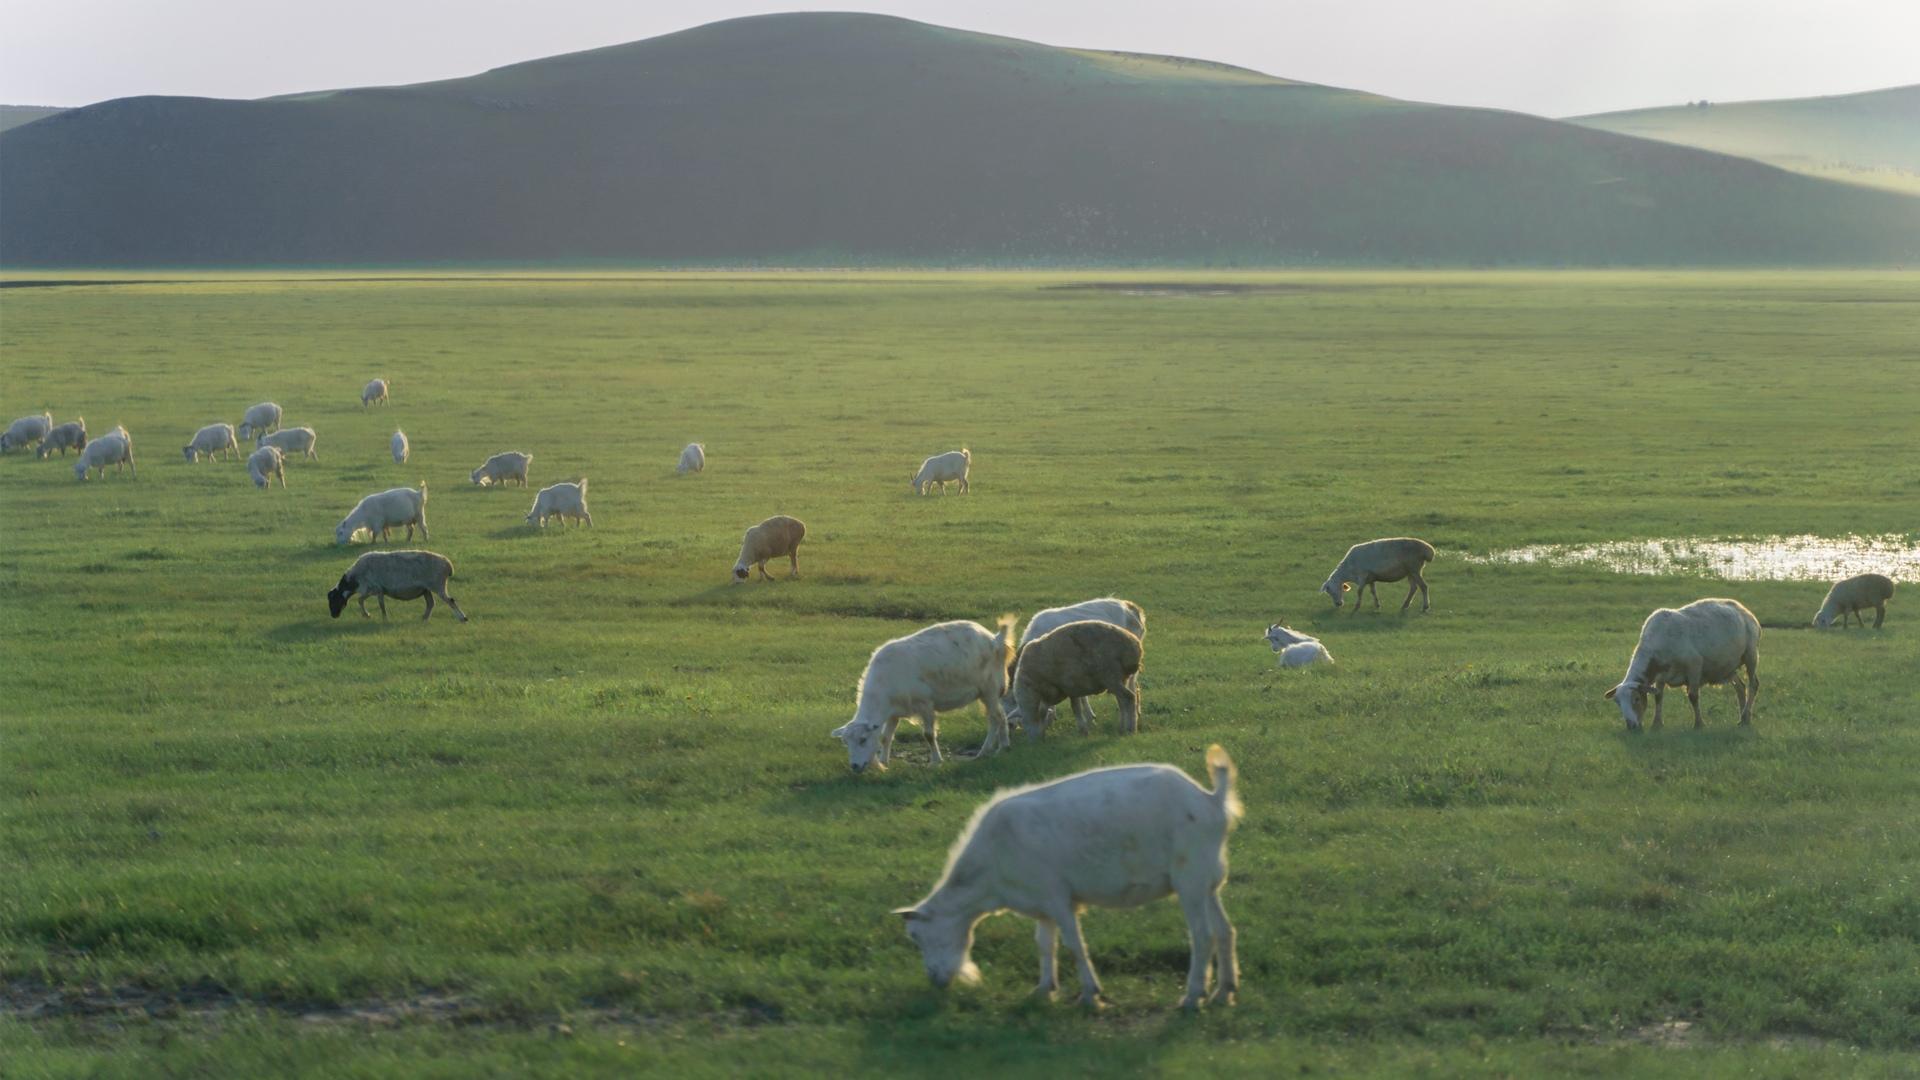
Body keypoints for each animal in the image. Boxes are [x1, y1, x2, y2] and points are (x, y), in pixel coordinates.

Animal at [328, 545, 466, 622]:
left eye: (334, 600)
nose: (333, 615)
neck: (354, 579)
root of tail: (448, 565)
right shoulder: (376, 590)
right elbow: (365, 601)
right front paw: (374, 616)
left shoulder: (374, 588)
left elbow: (368, 602)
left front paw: (375, 617)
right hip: (426, 589)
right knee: (431, 604)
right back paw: (424, 619)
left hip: (438, 585)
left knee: (450, 601)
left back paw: (463, 618)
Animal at [833, 614, 1029, 764]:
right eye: (846, 743)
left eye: (863, 740)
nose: (855, 767)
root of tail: (996, 639)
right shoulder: (894, 712)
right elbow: (885, 737)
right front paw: (884, 762)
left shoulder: (925, 704)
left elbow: (928, 735)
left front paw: (936, 761)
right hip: (985, 693)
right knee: (995, 718)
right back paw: (988, 750)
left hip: (990, 688)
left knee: (998, 717)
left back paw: (1000, 748)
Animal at [898, 737, 1244, 1006]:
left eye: (917, 936)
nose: (936, 981)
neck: (990, 876)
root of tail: (1212, 801)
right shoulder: (1041, 903)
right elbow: (1044, 944)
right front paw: (1043, 989)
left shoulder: (1057, 897)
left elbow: (1074, 945)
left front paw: (1091, 994)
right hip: (1207, 879)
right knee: (1225, 931)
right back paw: (1224, 991)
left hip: (1190, 878)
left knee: (1203, 935)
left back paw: (1193, 996)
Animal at [1605, 595, 1758, 730]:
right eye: (1617, 703)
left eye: (1636, 699)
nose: (1631, 727)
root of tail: (1743, 609)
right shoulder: (1660, 676)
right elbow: (1658, 697)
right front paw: (1656, 724)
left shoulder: (1694, 665)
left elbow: (1693, 696)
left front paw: (1699, 724)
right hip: (1727, 666)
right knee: (1740, 687)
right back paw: (1743, 718)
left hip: (1751, 654)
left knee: (1753, 684)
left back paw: (1745, 715)